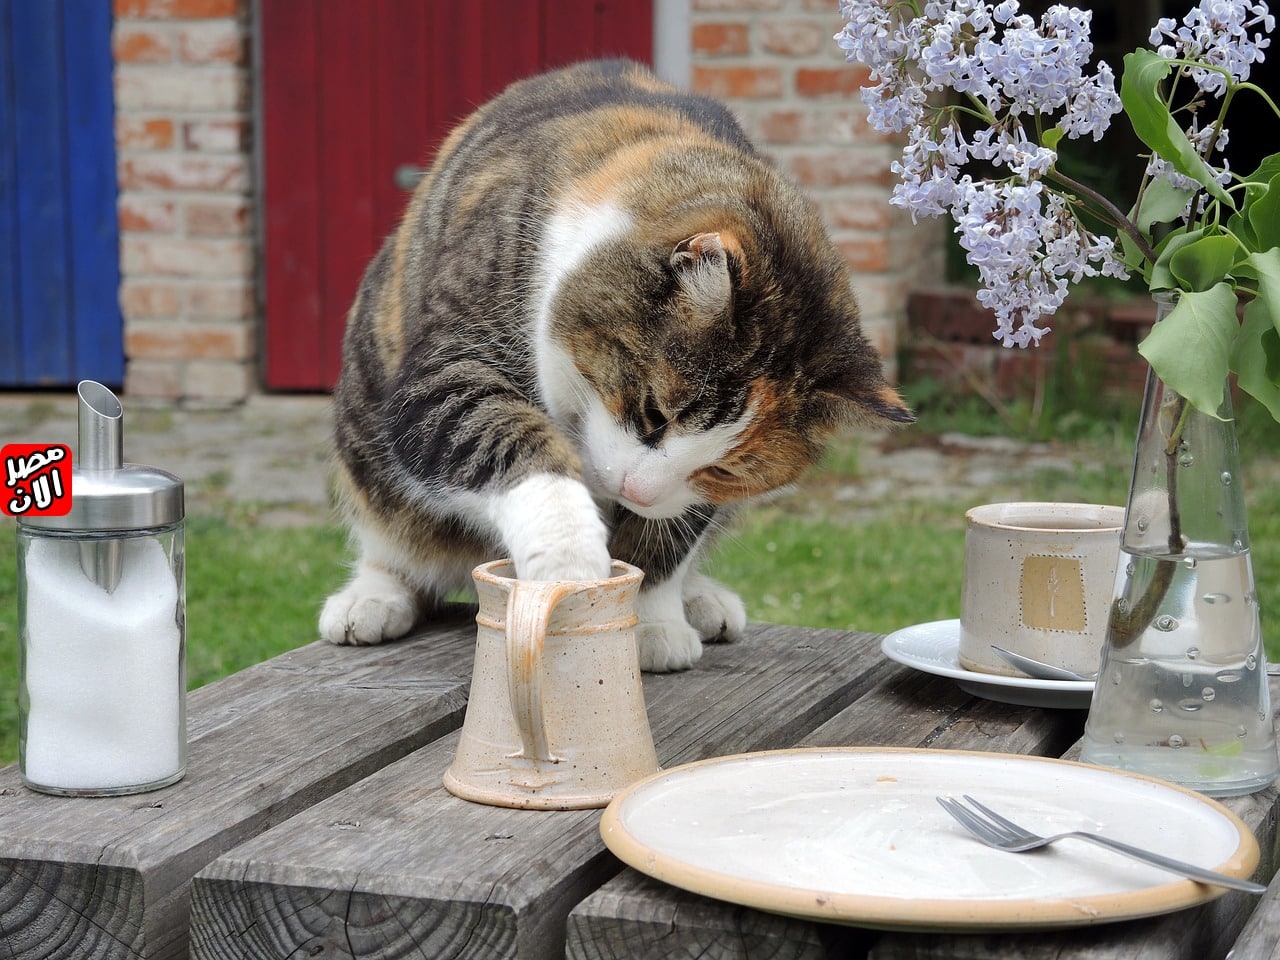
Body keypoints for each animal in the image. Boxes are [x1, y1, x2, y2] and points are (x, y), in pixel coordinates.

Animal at [318, 60, 911, 670]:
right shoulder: (447, 363)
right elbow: (498, 432)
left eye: (724, 471)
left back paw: (701, 598)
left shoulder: (692, 501)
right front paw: (570, 566)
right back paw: (372, 597)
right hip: (364, 414)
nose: (638, 491)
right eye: (653, 411)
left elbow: (668, 536)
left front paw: (647, 620)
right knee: (390, 532)